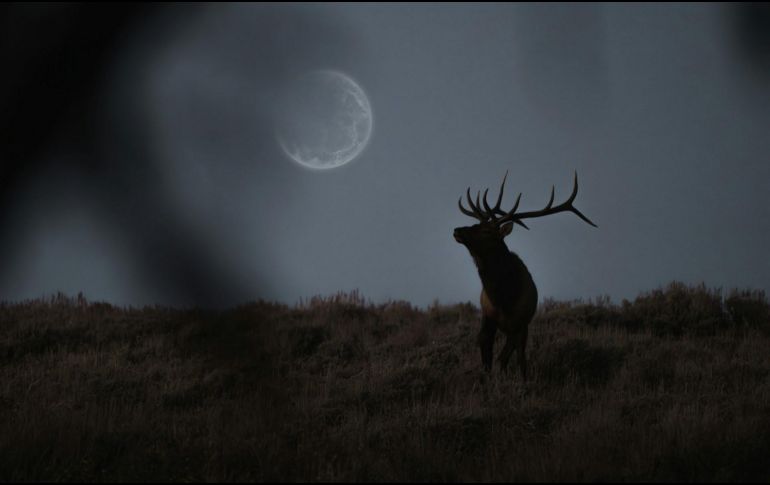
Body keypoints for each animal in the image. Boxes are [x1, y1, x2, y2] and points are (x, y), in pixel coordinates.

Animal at [453, 171, 596, 379]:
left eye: (487, 231)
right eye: (475, 224)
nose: (457, 230)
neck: (504, 298)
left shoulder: (520, 323)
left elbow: (510, 358)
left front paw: (516, 381)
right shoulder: (488, 319)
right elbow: (487, 358)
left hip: (522, 327)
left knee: (515, 356)